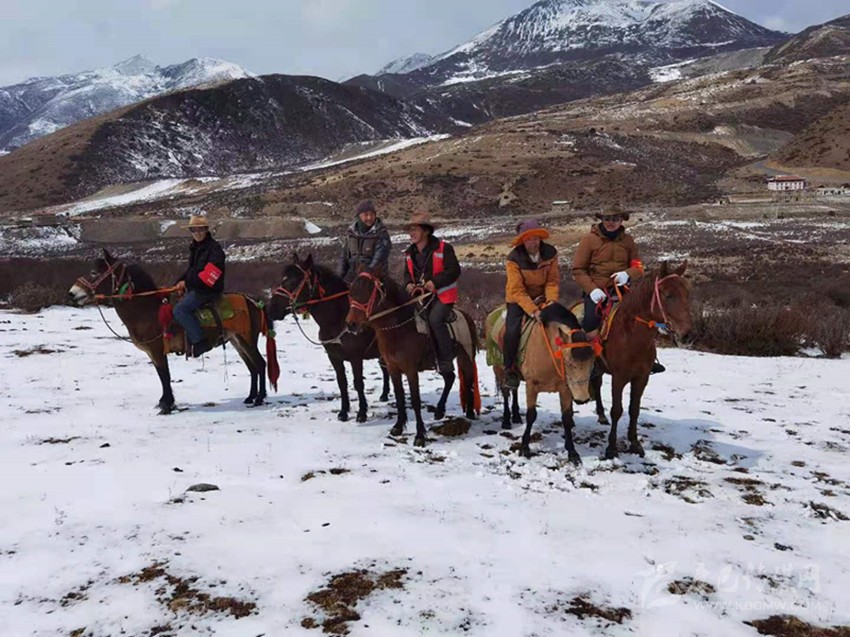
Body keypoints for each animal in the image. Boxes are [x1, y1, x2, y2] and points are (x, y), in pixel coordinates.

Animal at [68, 249, 277, 414]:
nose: (72, 293)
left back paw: (259, 398)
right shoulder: (152, 353)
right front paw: (164, 402)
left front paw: (167, 406)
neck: (147, 310)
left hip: (246, 338)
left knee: (260, 364)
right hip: (237, 340)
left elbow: (164, 376)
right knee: (252, 367)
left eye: (94, 272)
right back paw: (250, 397)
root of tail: (253, 301)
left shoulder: (157, 350)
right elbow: (162, 376)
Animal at [267, 253, 390, 423]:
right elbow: (342, 383)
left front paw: (362, 413)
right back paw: (384, 395)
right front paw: (343, 412)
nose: (271, 309)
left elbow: (358, 383)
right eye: (283, 279)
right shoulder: (334, 357)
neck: (337, 319)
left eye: (294, 281)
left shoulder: (355, 357)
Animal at [345, 270, 480, 447]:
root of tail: (467, 316)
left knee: (468, 381)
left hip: (466, 357)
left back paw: (470, 412)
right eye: (351, 292)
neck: (400, 329)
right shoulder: (393, 368)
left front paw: (420, 435)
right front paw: (397, 427)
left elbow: (415, 400)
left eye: (368, 292)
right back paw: (439, 410)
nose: (351, 324)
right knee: (450, 378)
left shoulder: (411, 370)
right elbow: (399, 396)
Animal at [485, 303, 595, 463]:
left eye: (592, 363)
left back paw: (516, 416)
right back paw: (506, 420)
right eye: (568, 363)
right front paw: (525, 447)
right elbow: (531, 415)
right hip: (498, 368)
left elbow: (567, 418)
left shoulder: (565, 389)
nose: (582, 399)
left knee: (514, 389)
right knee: (506, 393)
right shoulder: (532, 386)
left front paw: (572, 452)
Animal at [589, 261, 693, 460]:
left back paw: (601, 415)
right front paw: (611, 448)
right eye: (668, 294)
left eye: (688, 293)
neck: (631, 337)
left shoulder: (641, 378)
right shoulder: (619, 378)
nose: (687, 335)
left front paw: (635, 444)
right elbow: (617, 410)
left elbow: (634, 410)